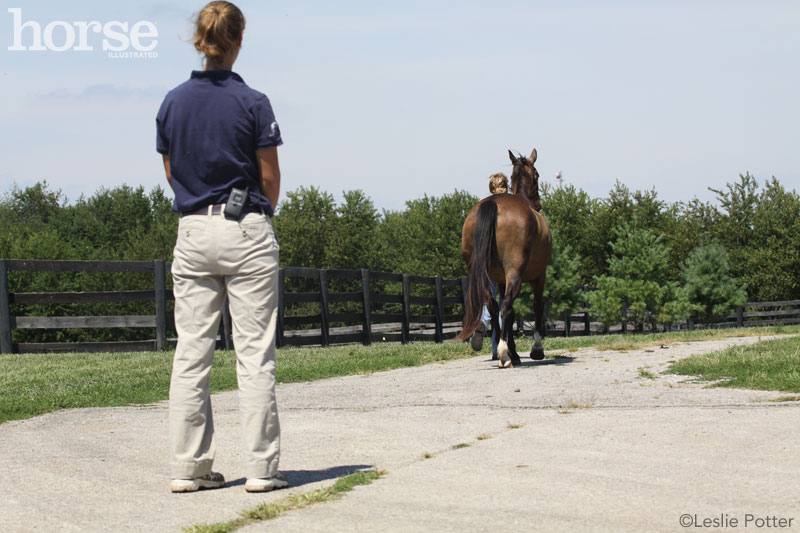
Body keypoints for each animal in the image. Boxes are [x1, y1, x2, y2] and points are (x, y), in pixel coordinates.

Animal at [460, 149, 552, 366]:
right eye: (537, 175)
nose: (539, 204)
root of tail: (492, 204)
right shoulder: (539, 276)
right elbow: (537, 307)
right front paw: (536, 349)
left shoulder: (500, 280)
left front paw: (515, 351)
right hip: (515, 273)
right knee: (507, 306)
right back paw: (504, 354)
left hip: (484, 275)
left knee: (494, 307)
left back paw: (505, 351)